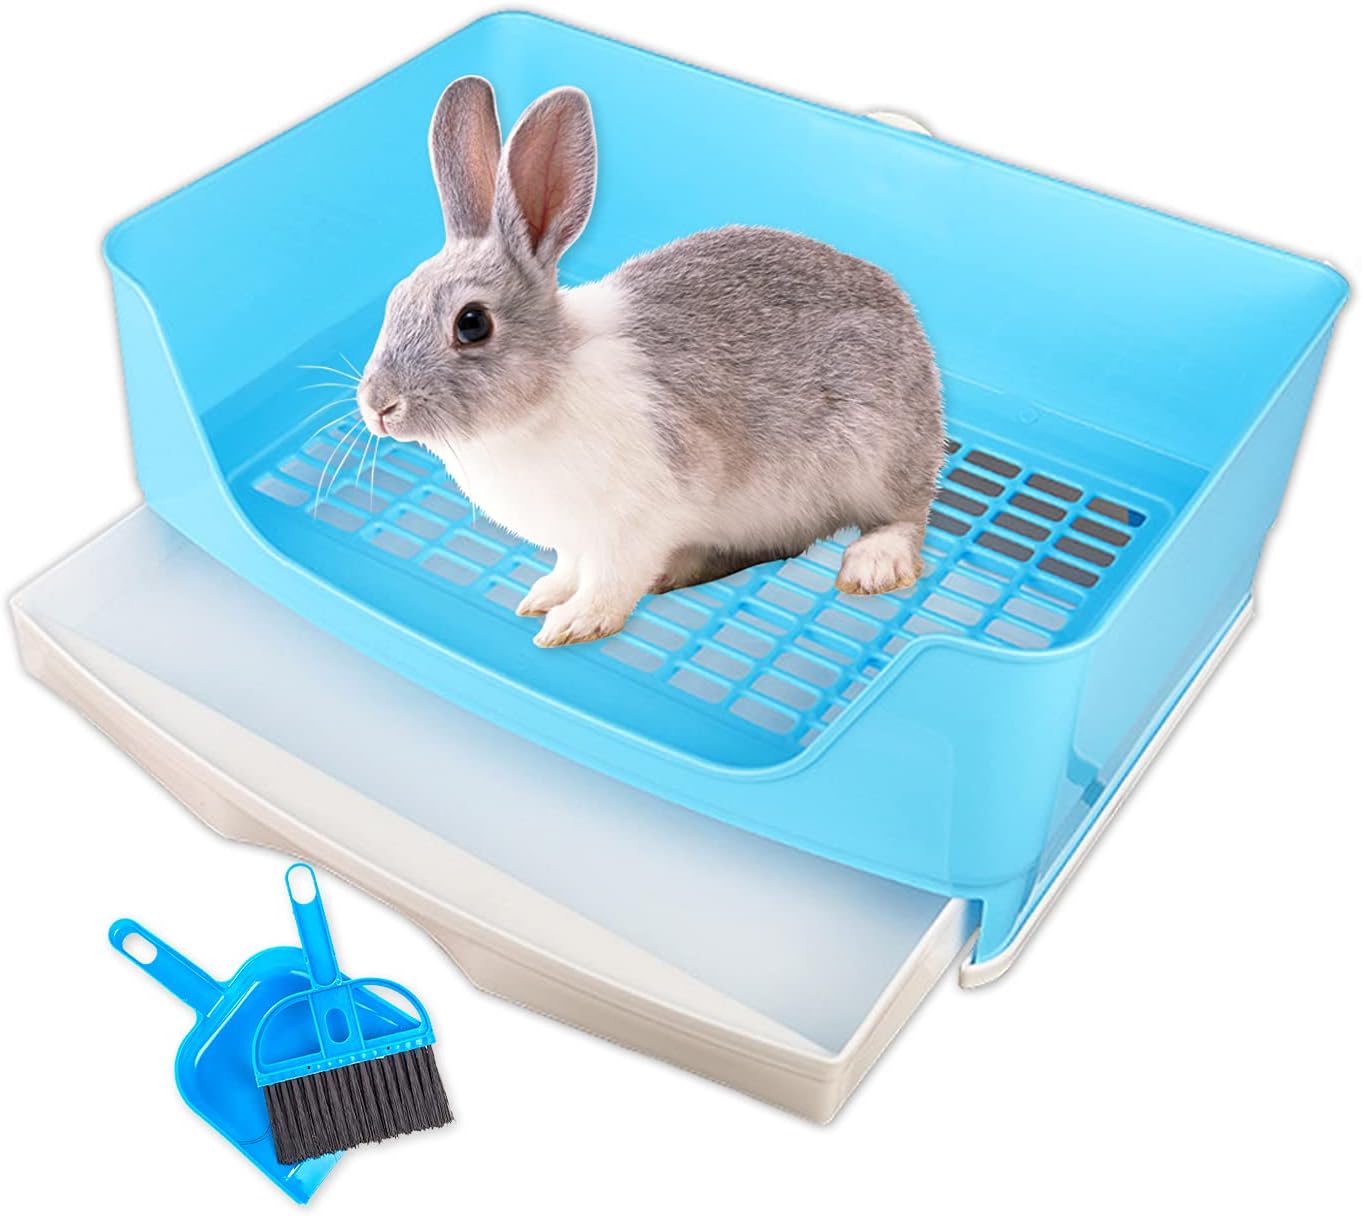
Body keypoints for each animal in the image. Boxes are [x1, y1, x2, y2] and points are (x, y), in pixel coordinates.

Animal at [358, 76, 945, 648]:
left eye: (472, 323)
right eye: (396, 299)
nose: (378, 407)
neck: (545, 391)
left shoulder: (632, 526)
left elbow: (610, 583)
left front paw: (573, 625)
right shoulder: (576, 539)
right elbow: (570, 568)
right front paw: (543, 595)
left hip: (878, 461)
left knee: (906, 517)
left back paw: (872, 566)